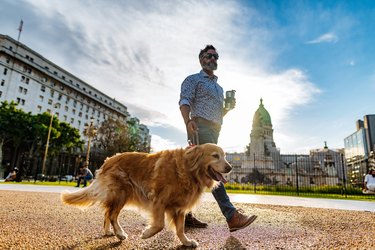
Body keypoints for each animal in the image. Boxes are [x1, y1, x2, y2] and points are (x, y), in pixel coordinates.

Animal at [61, 144, 232, 247]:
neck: (189, 170)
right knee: (112, 215)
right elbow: (160, 224)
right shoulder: (159, 200)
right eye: (215, 155)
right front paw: (146, 234)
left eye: (225, 156)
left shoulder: (179, 207)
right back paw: (120, 233)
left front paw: (186, 242)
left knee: (107, 213)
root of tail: (107, 161)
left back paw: (109, 231)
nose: (230, 167)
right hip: (121, 193)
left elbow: (180, 229)